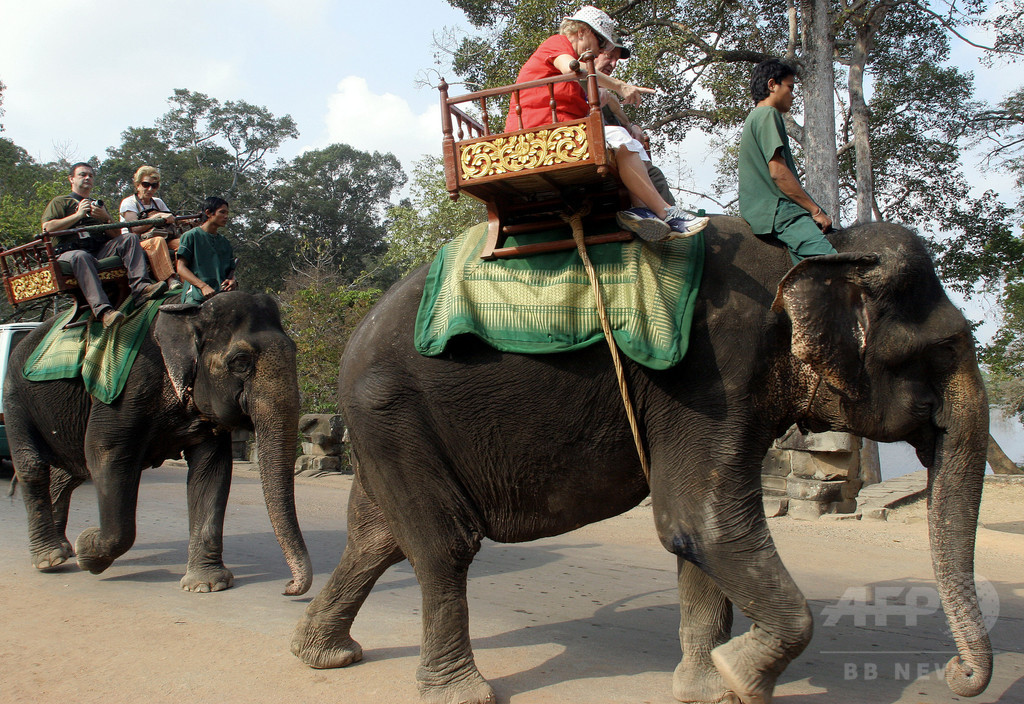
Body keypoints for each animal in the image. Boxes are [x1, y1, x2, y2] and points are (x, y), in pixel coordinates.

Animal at [6, 290, 311, 593]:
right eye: (240, 361)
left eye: (294, 352)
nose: (288, 586)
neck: (190, 313)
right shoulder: (126, 390)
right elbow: (104, 453)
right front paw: (87, 550)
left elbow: (211, 469)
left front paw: (206, 585)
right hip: (14, 395)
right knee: (34, 466)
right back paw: (51, 558)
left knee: (71, 471)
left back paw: (63, 550)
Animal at [290, 216, 991, 699]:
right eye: (944, 348)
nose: (956, 674)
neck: (824, 244)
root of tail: (351, 342)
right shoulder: (712, 374)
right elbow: (701, 523)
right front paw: (740, 675)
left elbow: (699, 536)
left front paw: (708, 686)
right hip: (390, 411)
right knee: (444, 544)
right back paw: (461, 693)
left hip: (388, 425)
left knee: (376, 537)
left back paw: (323, 656)